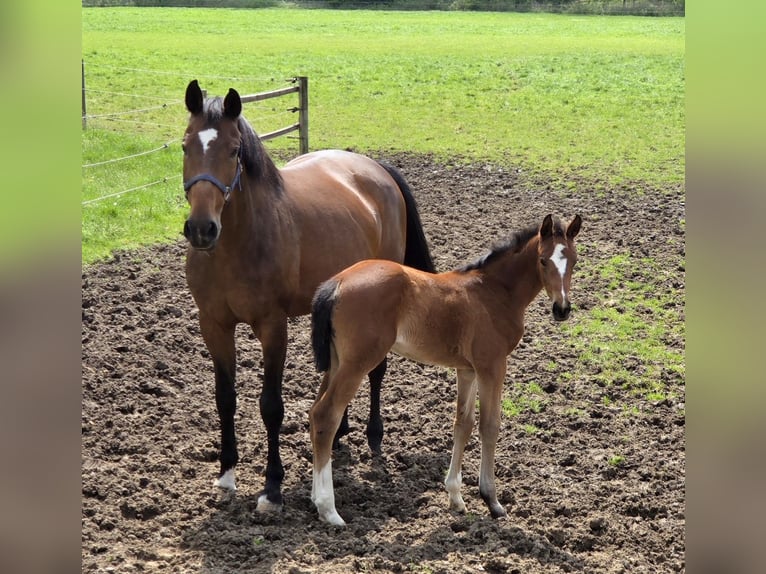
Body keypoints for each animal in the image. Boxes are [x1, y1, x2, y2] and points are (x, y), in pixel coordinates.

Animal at [181, 79, 435, 512]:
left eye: (233, 150)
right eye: (185, 146)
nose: (201, 229)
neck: (236, 246)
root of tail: (376, 169)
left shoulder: (272, 326)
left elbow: (271, 405)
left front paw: (272, 487)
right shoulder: (213, 324)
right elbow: (225, 397)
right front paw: (227, 473)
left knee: (376, 370)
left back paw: (374, 435)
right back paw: (341, 430)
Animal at [309, 213, 582, 526]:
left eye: (573, 260)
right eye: (543, 261)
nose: (562, 309)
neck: (493, 292)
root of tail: (337, 282)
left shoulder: (468, 370)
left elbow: (463, 424)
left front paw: (456, 497)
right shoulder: (492, 365)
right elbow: (490, 426)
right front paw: (491, 500)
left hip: (336, 363)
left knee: (314, 414)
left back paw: (315, 498)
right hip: (357, 363)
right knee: (326, 415)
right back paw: (329, 510)